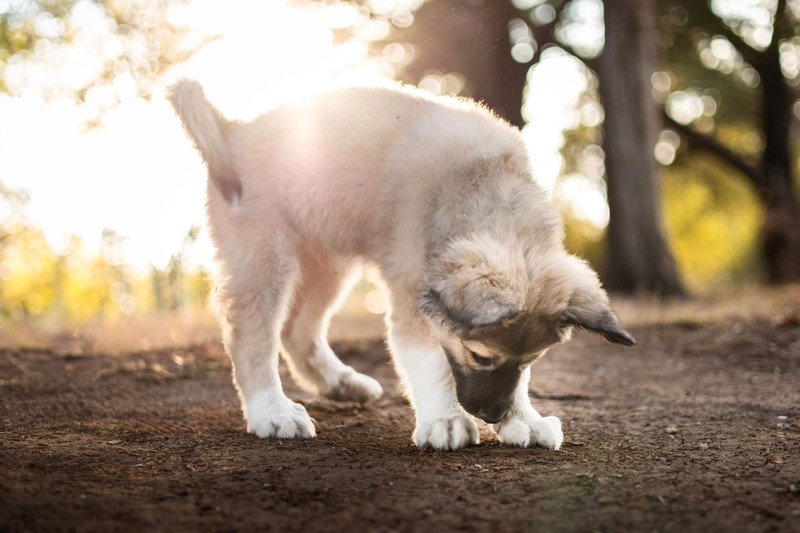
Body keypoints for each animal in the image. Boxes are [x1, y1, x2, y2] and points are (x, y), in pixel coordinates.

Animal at [170, 80, 636, 448]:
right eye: (479, 356)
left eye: (531, 360)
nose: (491, 415)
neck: (477, 182)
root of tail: (234, 131)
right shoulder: (412, 294)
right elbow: (430, 363)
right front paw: (445, 419)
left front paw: (525, 419)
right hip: (266, 257)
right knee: (253, 336)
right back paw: (272, 410)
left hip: (327, 264)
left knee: (296, 331)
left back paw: (341, 383)